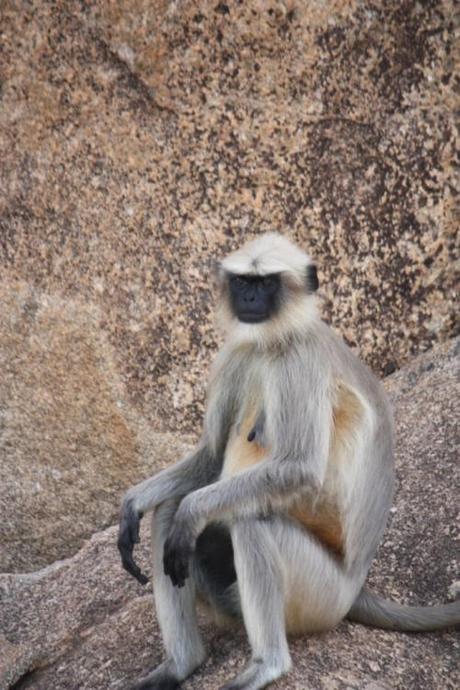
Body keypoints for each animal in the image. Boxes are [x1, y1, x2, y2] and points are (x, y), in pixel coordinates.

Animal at [117, 232, 458, 688]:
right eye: (243, 281)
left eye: (266, 283)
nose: (249, 297)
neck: (273, 341)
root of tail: (356, 589)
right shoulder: (236, 353)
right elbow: (210, 458)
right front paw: (135, 502)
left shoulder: (301, 361)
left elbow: (297, 469)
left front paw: (191, 509)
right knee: (171, 512)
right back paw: (181, 665)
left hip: (322, 597)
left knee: (248, 522)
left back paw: (267, 665)